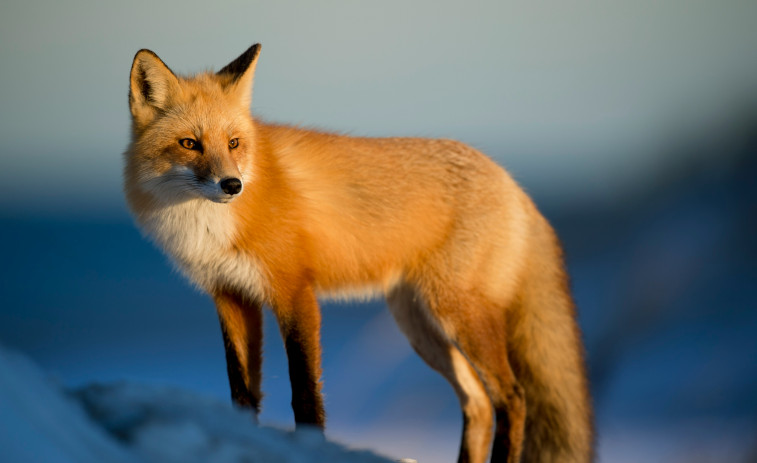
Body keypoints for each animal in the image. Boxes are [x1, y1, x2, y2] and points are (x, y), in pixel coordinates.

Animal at [124, 44, 592, 463]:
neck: (208, 225)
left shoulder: (294, 292)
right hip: (422, 327)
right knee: (477, 404)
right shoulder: (231, 296)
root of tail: (513, 183)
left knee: (512, 398)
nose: (232, 185)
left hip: (458, 315)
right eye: (190, 144)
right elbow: (242, 393)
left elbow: (305, 393)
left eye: (234, 143)